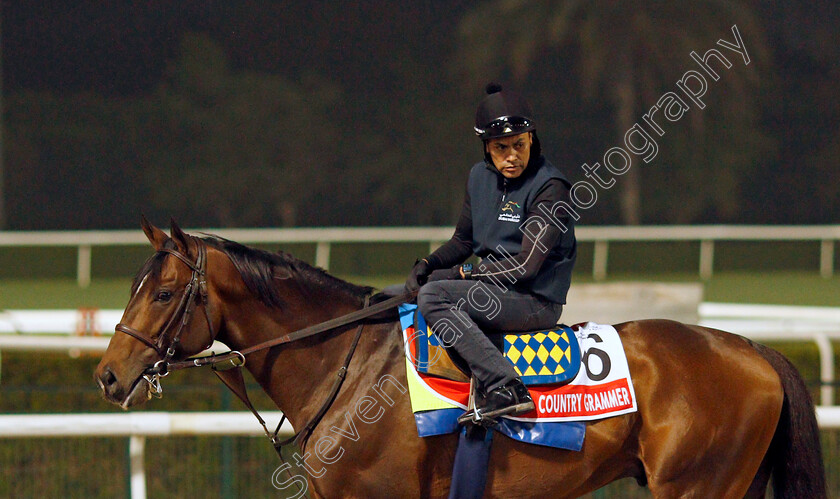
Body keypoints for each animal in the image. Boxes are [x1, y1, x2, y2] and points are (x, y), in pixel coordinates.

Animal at [95, 221, 824, 498]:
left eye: (162, 292)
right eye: (132, 284)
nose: (107, 375)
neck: (349, 366)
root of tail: (757, 349)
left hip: (699, 486)